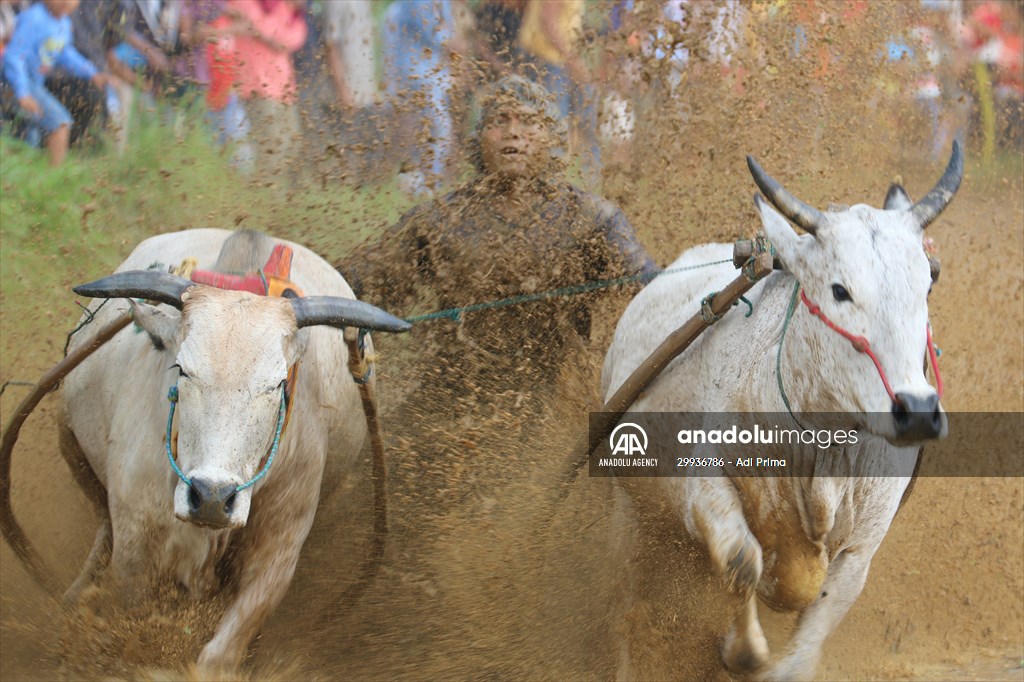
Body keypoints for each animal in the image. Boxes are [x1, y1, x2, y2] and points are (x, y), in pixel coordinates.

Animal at [58, 228, 407, 667]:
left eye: (278, 384)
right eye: (182, 368)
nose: (211, 496)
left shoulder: (279, 550)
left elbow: (219, 654)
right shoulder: (135, 544)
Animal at [598, 142, 958, 675]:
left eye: (926, 287)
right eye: (839, 290)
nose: (915, 410)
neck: (824, 450)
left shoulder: (860, 549)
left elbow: (810, 634)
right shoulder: (700, 487)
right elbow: (741, 559)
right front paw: (742, 650)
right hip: (629, 510)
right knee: (625, 601)